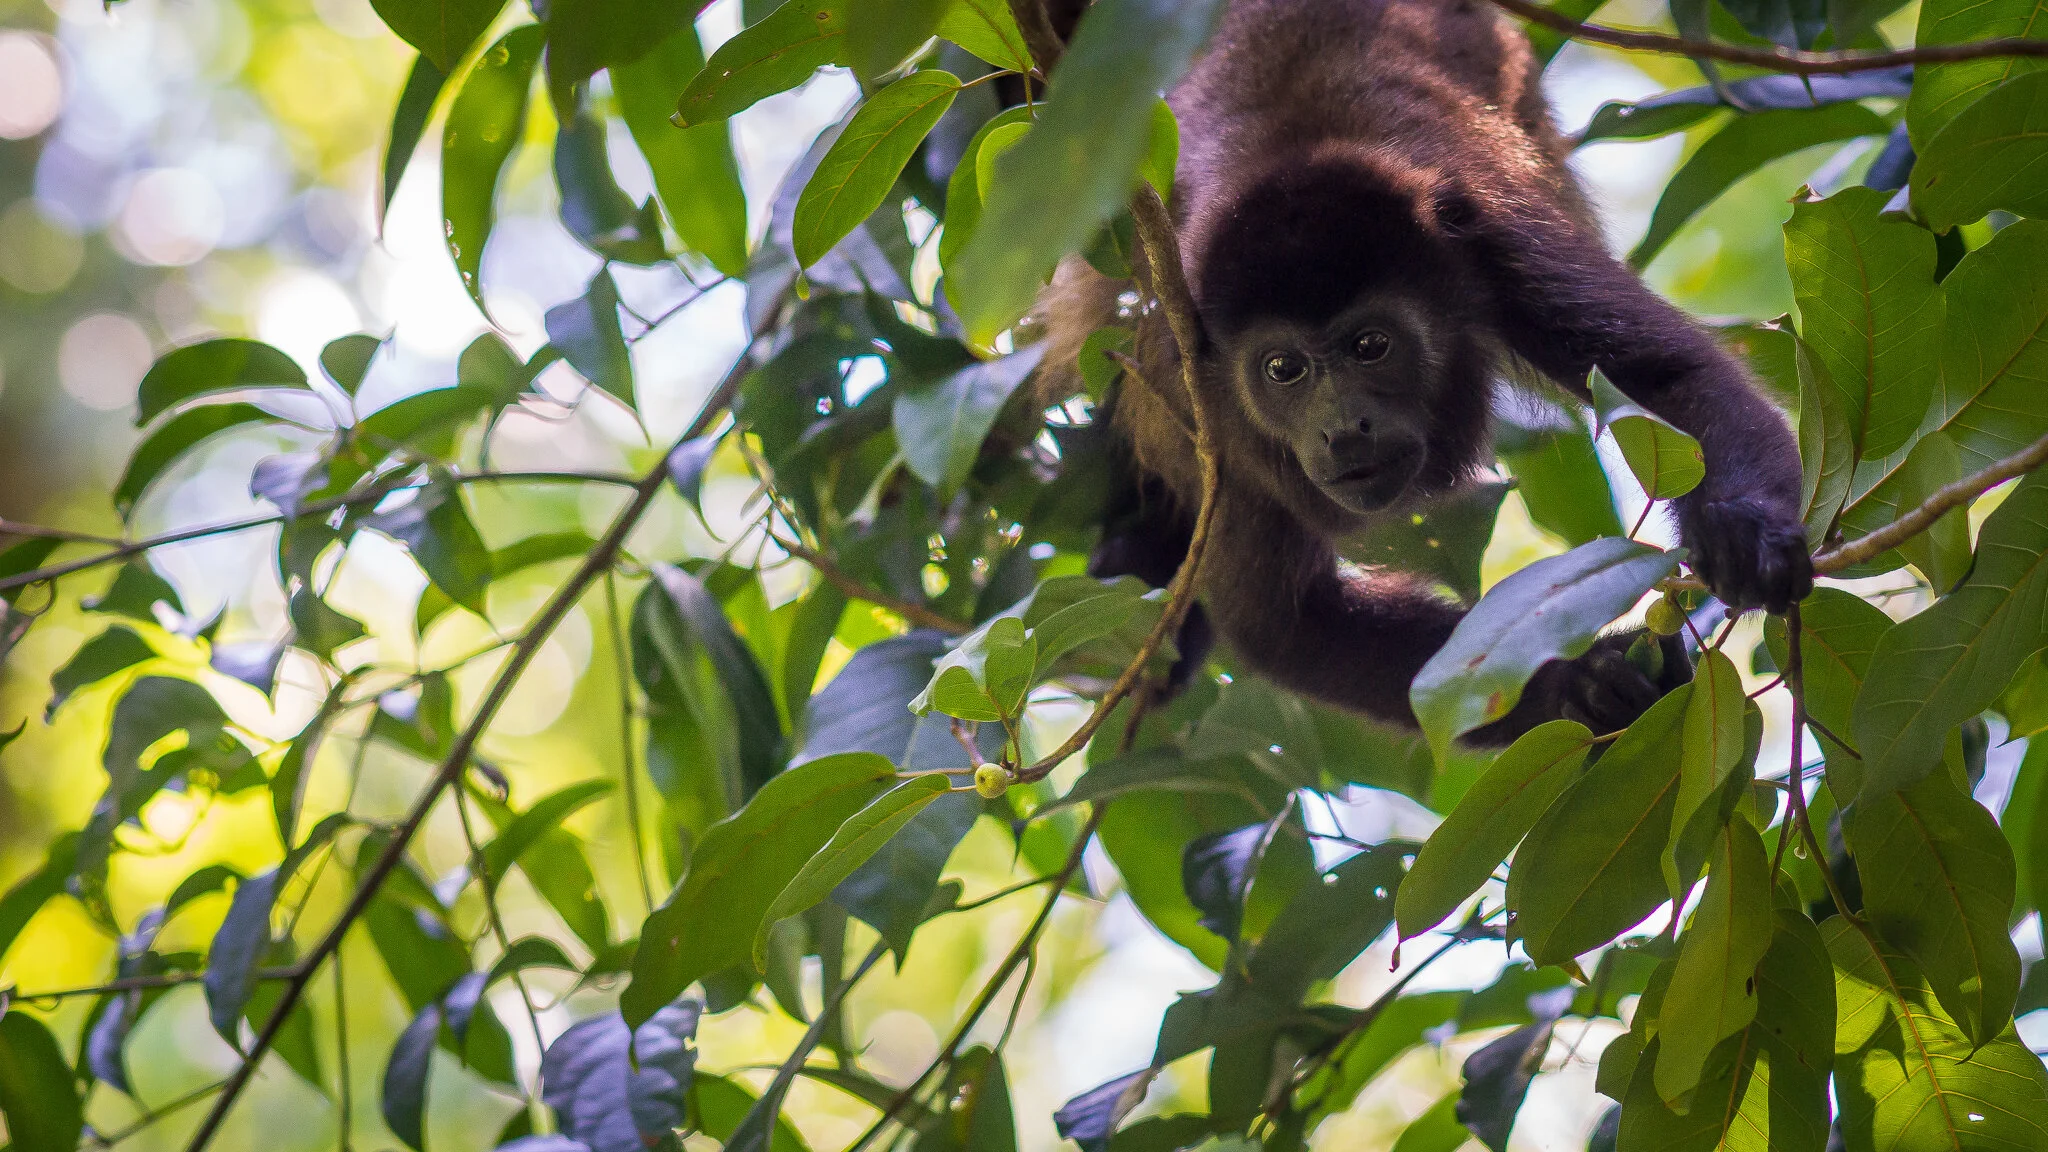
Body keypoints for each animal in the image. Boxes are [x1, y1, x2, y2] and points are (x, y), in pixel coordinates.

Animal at [1032, 0, 1812, 741]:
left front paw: (1747, 531)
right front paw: (1583, 684)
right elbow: (1291, 620)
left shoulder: (1502, 245)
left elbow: (1669, 372)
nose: (1344, 430)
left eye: (1372, 346)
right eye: (1283, 368)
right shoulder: (1185, 373)